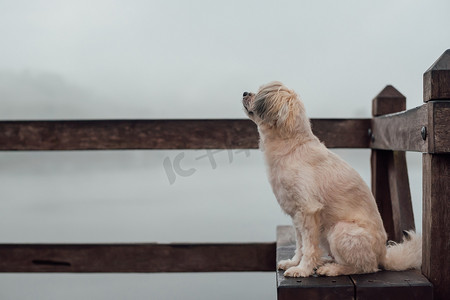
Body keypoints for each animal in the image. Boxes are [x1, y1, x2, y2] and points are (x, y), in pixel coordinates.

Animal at [243, 81, 422, 276]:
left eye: (259, 93)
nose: (244, 93)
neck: (292, 147)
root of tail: (383, 254)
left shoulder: (308, 211)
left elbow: (309, 247)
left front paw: (302, 269)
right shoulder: (296, 214)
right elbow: (300, 244)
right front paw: (294, 262)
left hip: (340, 230)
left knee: (365, 267)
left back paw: (332, 269)